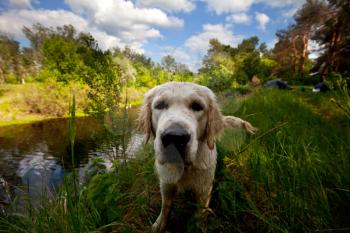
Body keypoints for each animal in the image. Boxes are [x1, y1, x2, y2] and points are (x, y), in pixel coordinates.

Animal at [138, 81, 256, 231]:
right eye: (160, 105)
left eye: (197, 106)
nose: (175, 137)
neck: (185, 168)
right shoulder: (166, 184)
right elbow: (166, 206)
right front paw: (159, 225)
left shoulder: (204, 190)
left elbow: (200, 213)